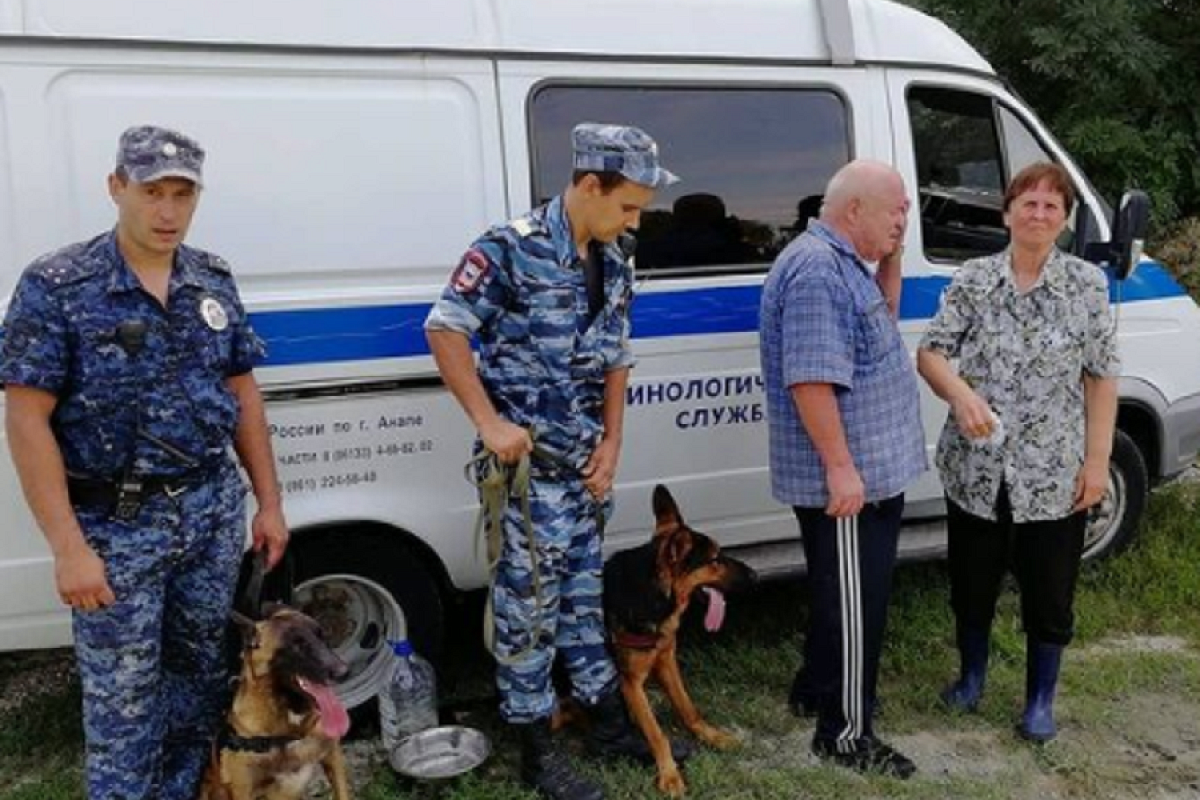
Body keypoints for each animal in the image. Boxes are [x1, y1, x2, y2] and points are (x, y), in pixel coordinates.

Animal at [604, 484, 753, 796]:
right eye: (715, 560)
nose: (755, 575)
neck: (653, 593)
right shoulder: (630, 682)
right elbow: (656, 732)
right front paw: (670, 774)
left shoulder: (666, 662)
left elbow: (688, 707)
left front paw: (712, 735)